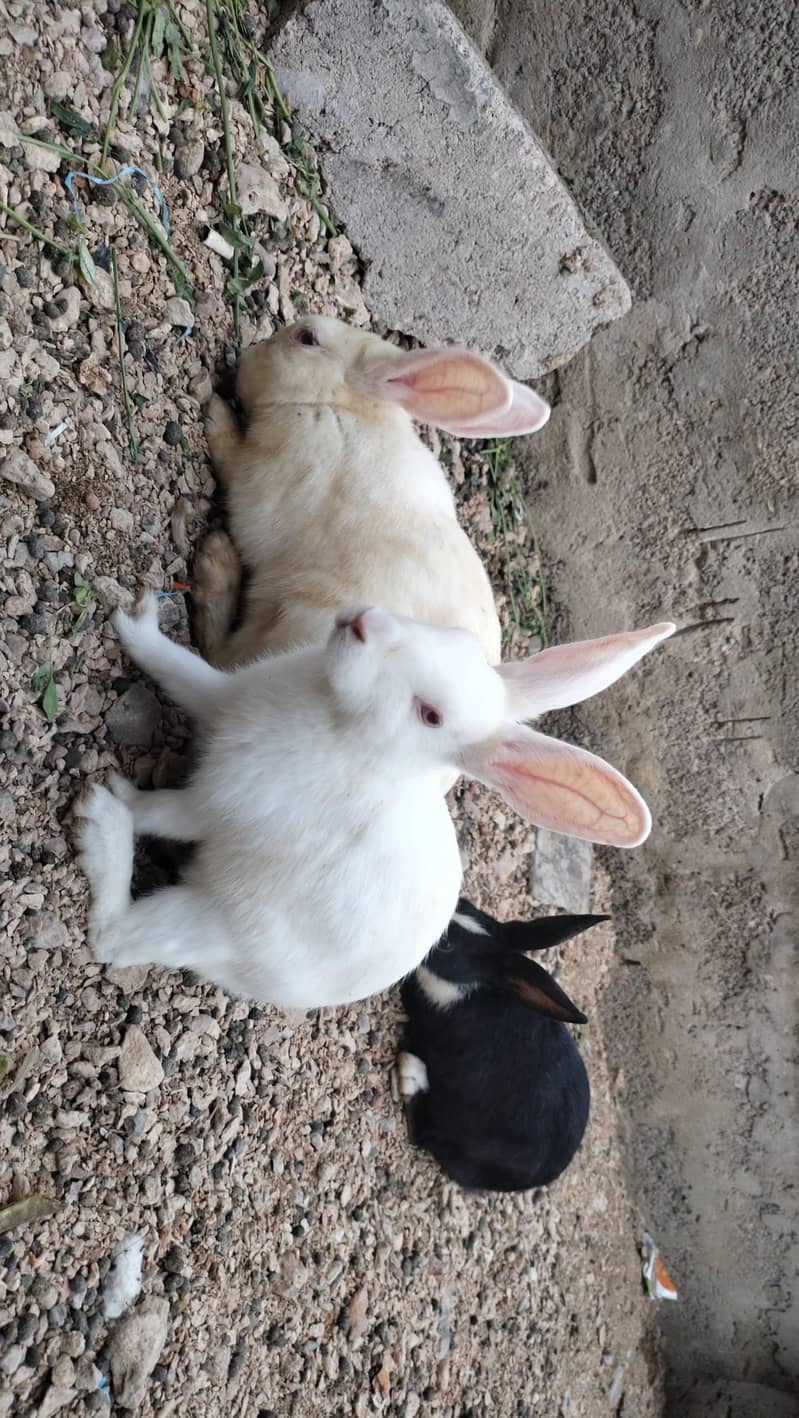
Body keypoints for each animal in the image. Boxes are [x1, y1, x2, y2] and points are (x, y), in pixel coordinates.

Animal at [76, 595, 673, 1011]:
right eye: (458, 638)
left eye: (430, 716)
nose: (366, 623)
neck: (343, 724)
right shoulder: (220, 699)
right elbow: (179, 671)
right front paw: (136, 620)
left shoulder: (217, 806)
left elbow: (162, 812)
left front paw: (123, 797)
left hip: (206, 918)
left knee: (112, 939)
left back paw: (101, 822)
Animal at [193, 314, 551, 673]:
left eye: (307, 337)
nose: (245, 359)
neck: (336, 406)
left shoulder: (261, 476)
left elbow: (230, 460)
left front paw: (216, 416)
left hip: (294, 621)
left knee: (221, 660)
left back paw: (216, 562)